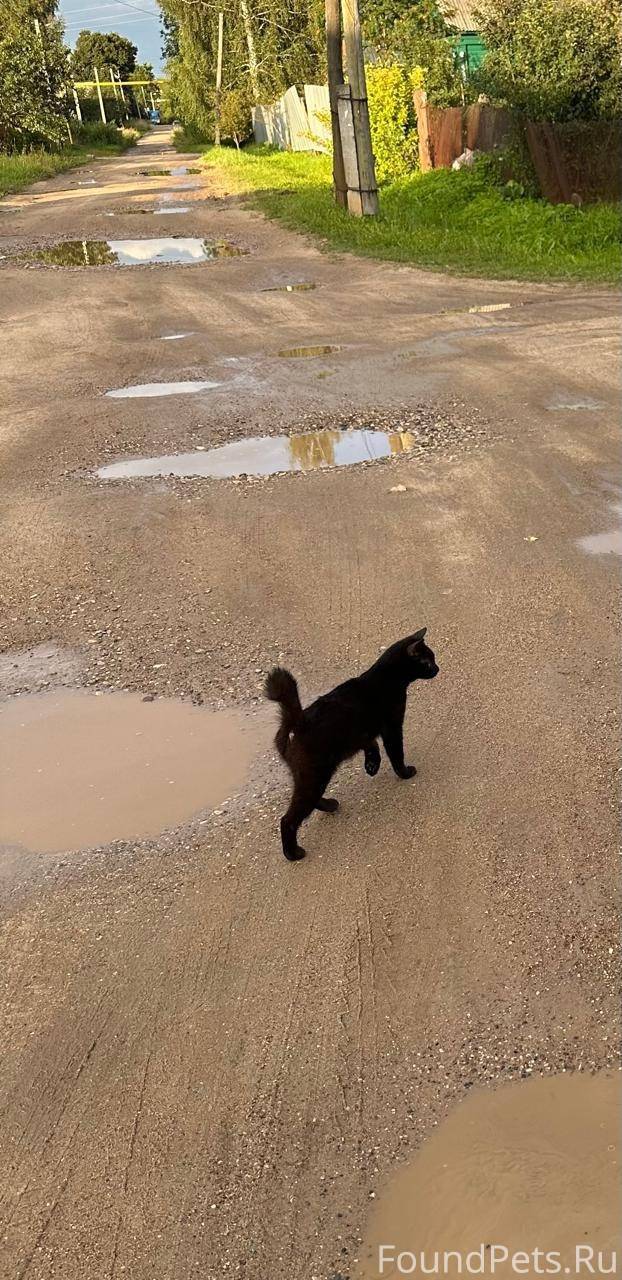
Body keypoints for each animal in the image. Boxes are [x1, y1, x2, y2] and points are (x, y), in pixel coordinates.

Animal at [264, 628, 439, 861]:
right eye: (428, 662)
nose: (437, 668)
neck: (386, 678)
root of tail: (296, 722)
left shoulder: (364, 733)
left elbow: (371, 746)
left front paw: (372, 765)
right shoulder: (392, 726)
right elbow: (395, 752)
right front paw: (404, 772)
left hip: (307, 776)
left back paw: (330, 804)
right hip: (314, 775)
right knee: (289, 819)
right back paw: (293, 853)